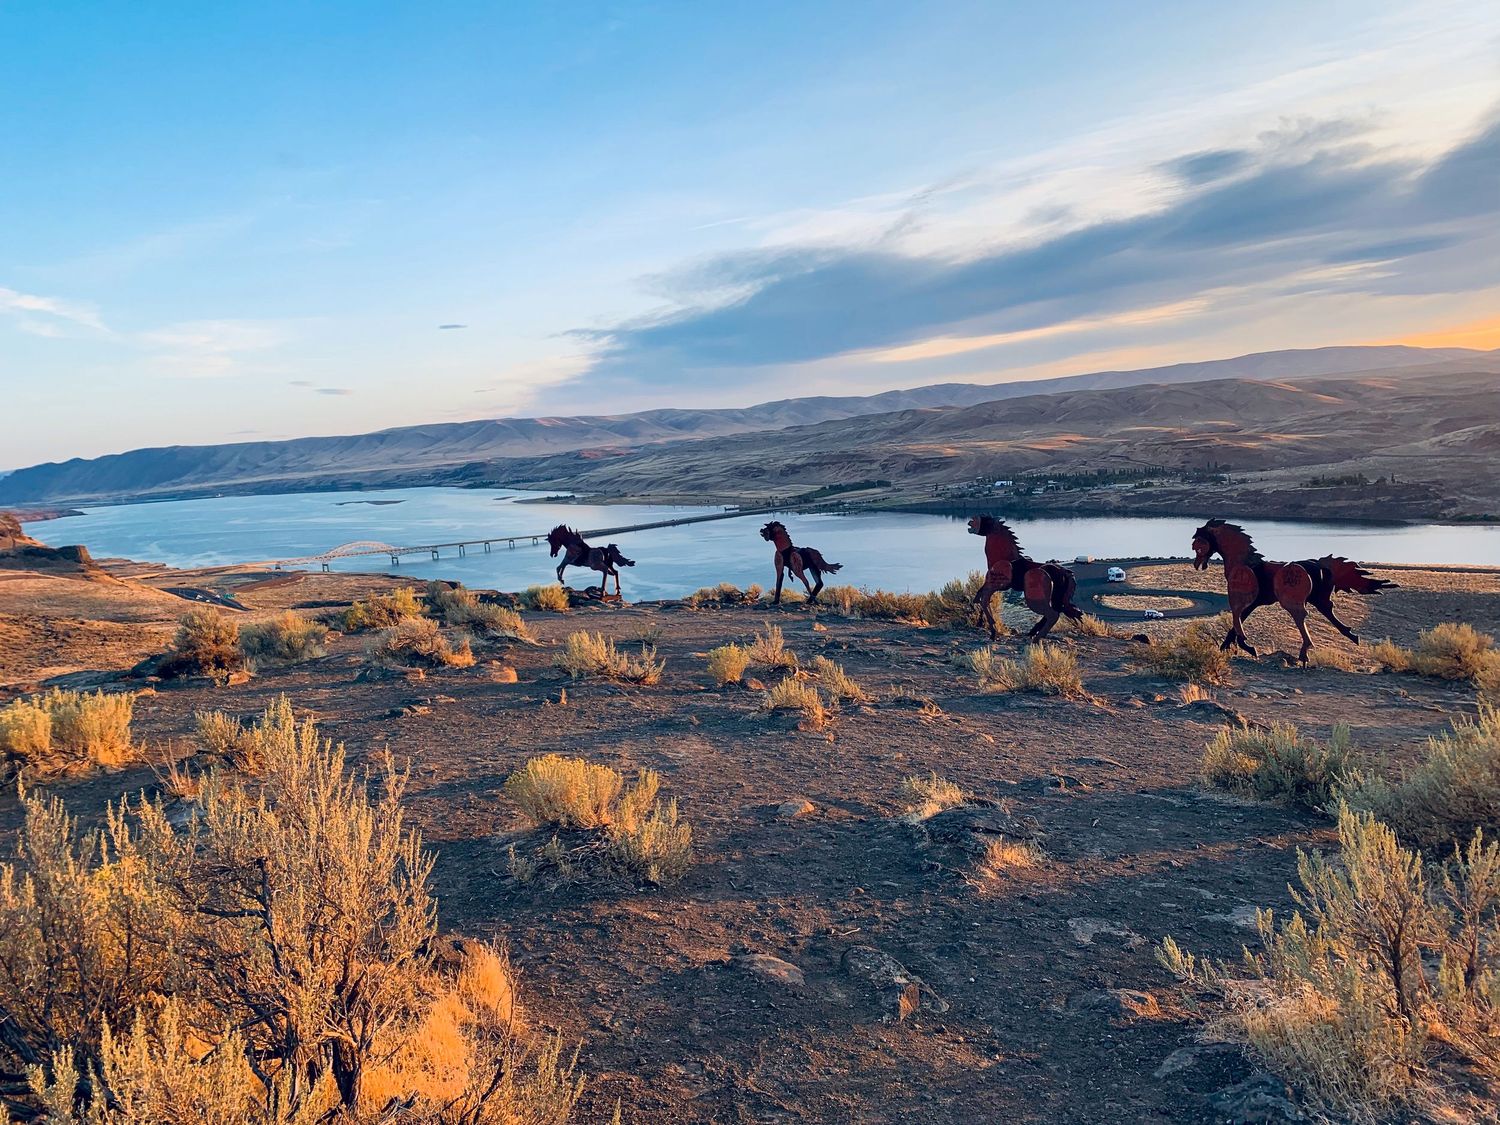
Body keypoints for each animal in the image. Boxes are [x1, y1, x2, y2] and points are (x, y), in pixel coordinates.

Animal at [1190, 518, 1395, 663]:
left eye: (1199, 542)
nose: (1197, 564)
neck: (1243, 562)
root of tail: (1318, 565)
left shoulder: (1243, 600)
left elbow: (1236, 620)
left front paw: (1247, 647)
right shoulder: (1253, 603)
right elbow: (1235, 624)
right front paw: (1228, 647)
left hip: (1291, 600)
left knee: (1301, 616)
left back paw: (1305, 654)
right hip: (1317, 598)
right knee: (1328, 611)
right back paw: (1352, 636)